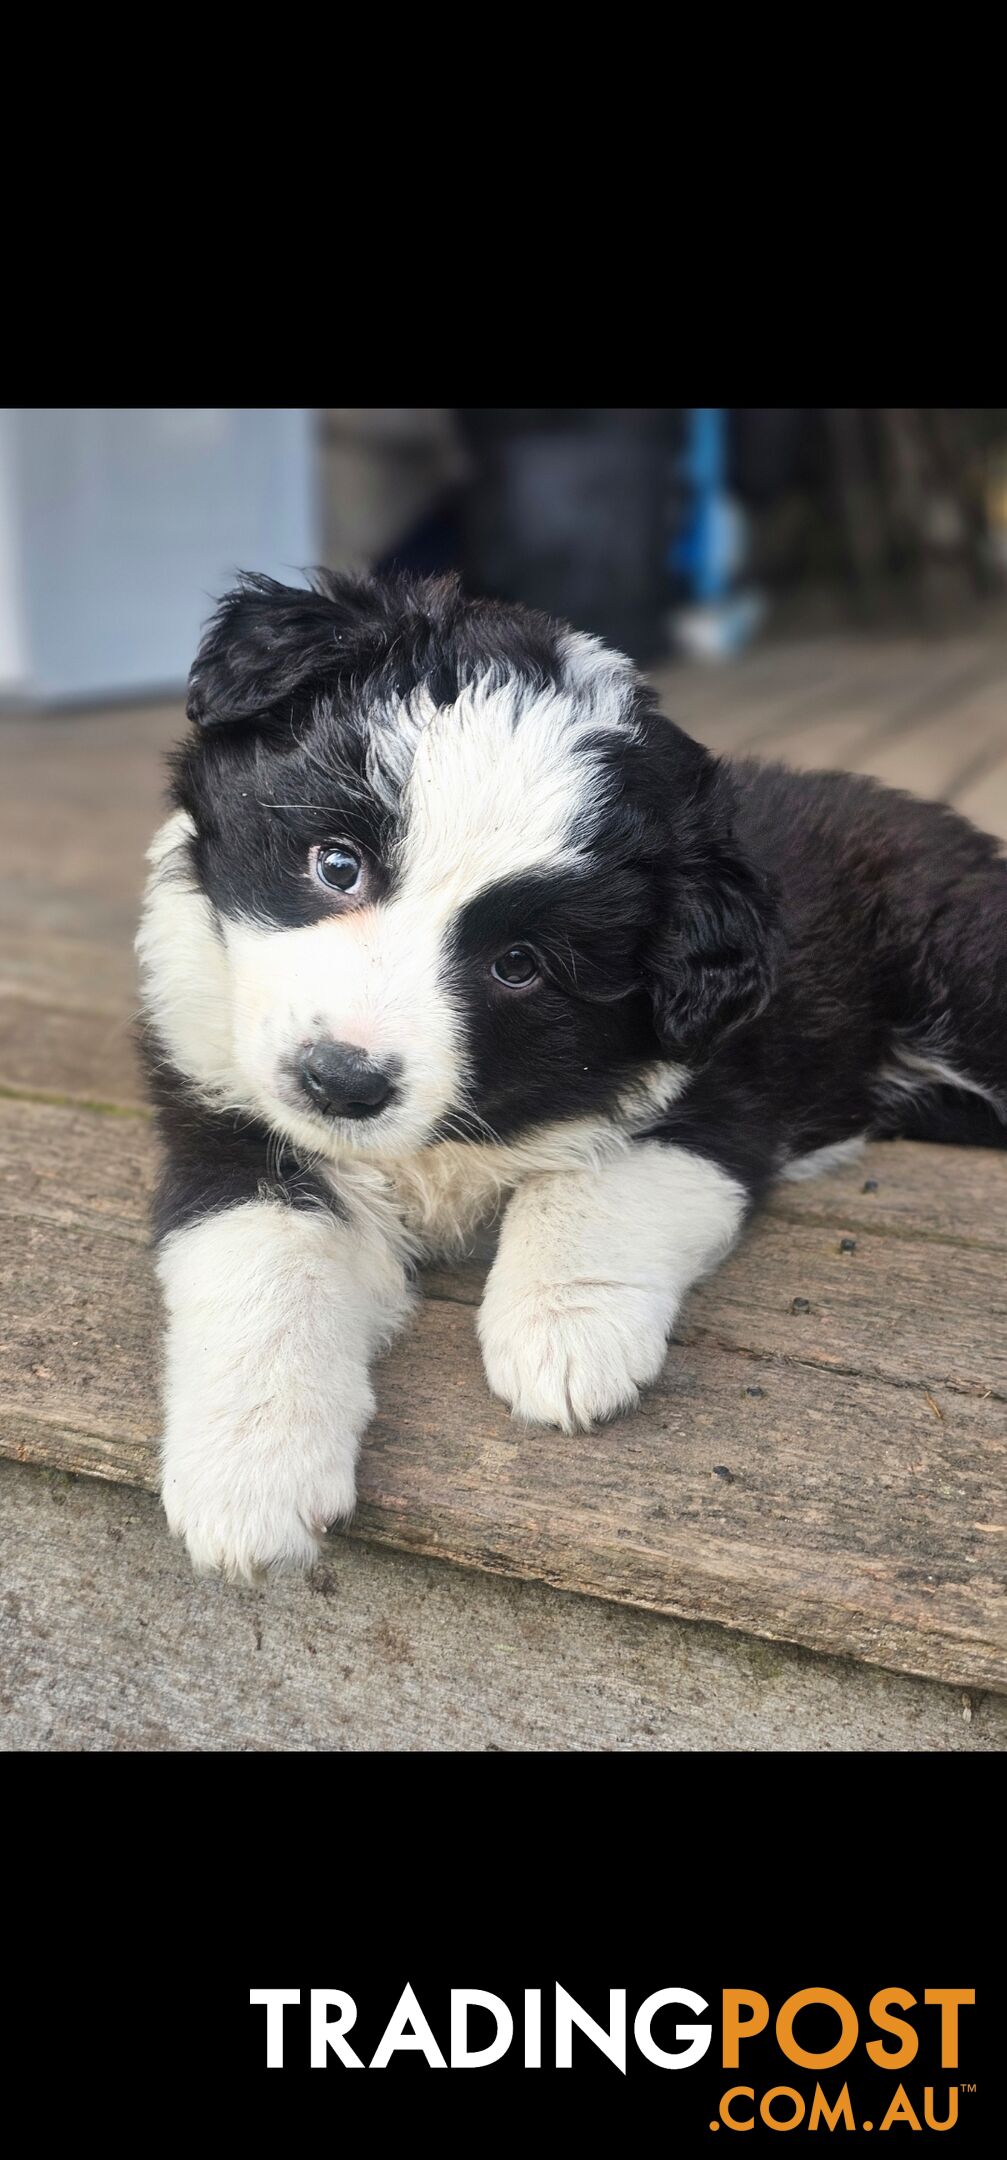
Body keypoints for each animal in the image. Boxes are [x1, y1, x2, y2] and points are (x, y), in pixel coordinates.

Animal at [135, 570, 1007, 1589]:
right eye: (336, 864)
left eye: (518, 965)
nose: (341, 1083)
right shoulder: (225, 1112)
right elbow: (264, 1262)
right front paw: (250, 1472)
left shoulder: (712, 1091)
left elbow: (593, 1181)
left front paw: (562, 1333)